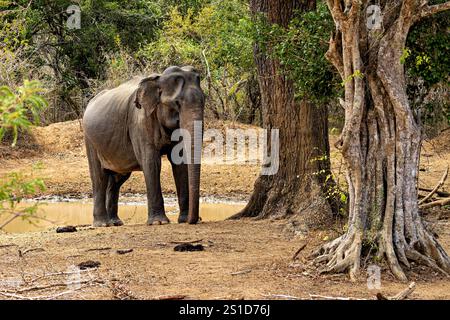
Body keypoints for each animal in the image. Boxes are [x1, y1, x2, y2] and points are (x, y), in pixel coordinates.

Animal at [81, 65, 205, 226]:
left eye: (204, 100)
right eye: (177, 103)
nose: (196, 220)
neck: (158, 79)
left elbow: (180, 163)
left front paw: (182, 220)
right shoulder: (140, 122)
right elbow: (151, 162)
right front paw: (159, 223)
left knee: (116, 179)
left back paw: (115, 222)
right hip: (90, 140)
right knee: (99, 177)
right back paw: (102, 224)